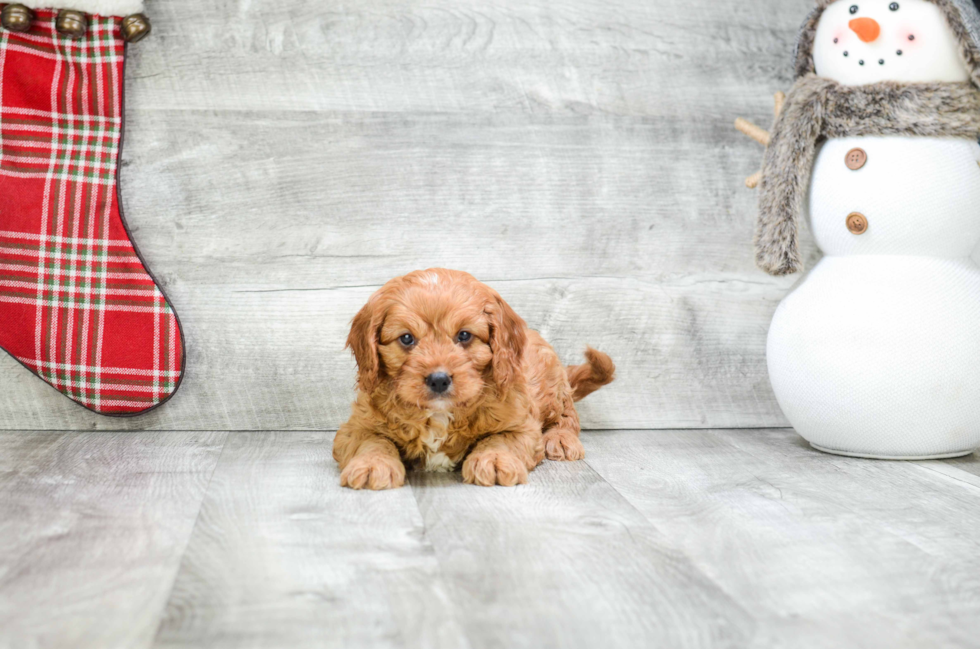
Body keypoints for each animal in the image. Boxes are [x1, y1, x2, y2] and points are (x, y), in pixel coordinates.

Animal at [334, 266, 616, 488]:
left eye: (464, 335)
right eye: (406, 338)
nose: (438, 379)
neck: (440, 414)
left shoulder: (521, 424)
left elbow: (500, 439)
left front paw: (494, 459)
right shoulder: (358, 426)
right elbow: (373, 441)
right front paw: (371, 464)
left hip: (552, 387)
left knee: (567, 416)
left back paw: (560, 439)